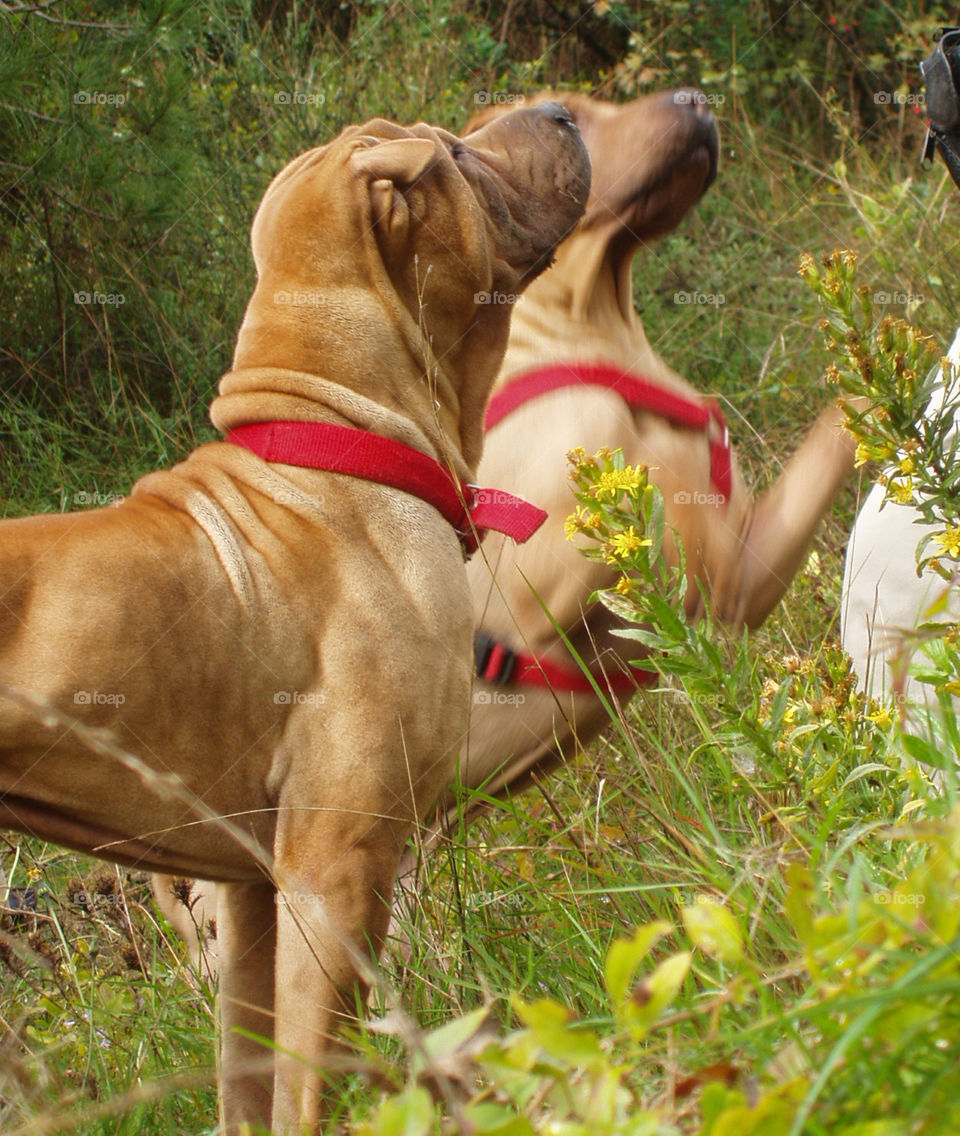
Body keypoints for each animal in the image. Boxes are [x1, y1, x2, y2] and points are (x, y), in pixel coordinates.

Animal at [0, 102, 590, 1131]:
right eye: (460, 153)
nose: (562, 109)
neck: (346, 439)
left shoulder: (248, 898)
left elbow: (250, 1083)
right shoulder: (335, 869)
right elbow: (313, 1089)